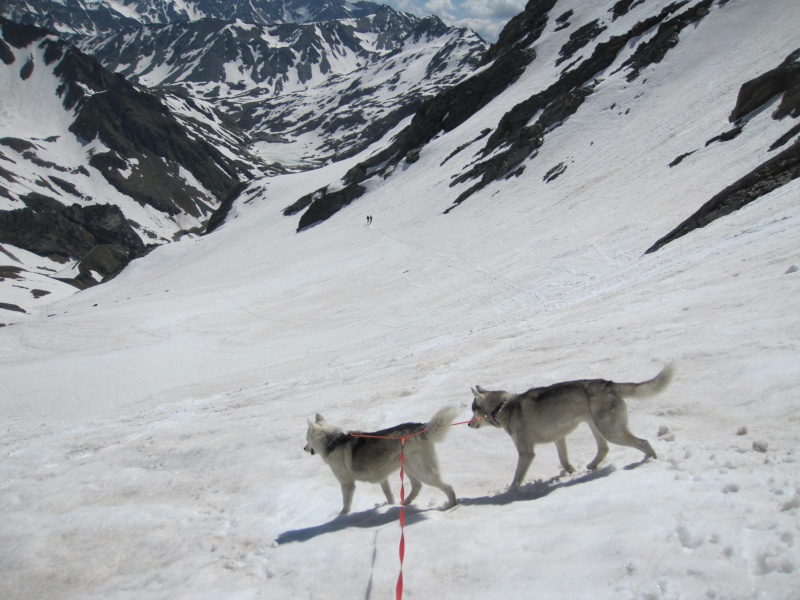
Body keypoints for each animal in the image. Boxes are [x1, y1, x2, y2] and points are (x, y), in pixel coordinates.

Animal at [304, 408, 460, 516]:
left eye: (306, 439)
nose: (304, 448)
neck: (333, 442)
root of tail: (421, 427)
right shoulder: (382, 478)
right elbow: (388, 495)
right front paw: (390, 505)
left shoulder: (347, 484)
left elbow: (346, 505)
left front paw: (341, 516)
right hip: (409, 467)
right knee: (417, 486)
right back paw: (405, 502)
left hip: (423, 471)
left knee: (448, 487)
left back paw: (451, 505)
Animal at [468, 364, 676, 490]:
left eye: (472, 409)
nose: (469, 424)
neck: (503, 407)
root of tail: (609, 384)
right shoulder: (559, 438)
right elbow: (564, 461)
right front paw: (571, 472)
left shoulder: (526, 452)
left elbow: (517, 476)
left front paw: (511, 491)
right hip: (596, 427)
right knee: (604, 448)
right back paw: (592, 466)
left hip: (611, 431)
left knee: (643, 442)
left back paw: (652, 460)